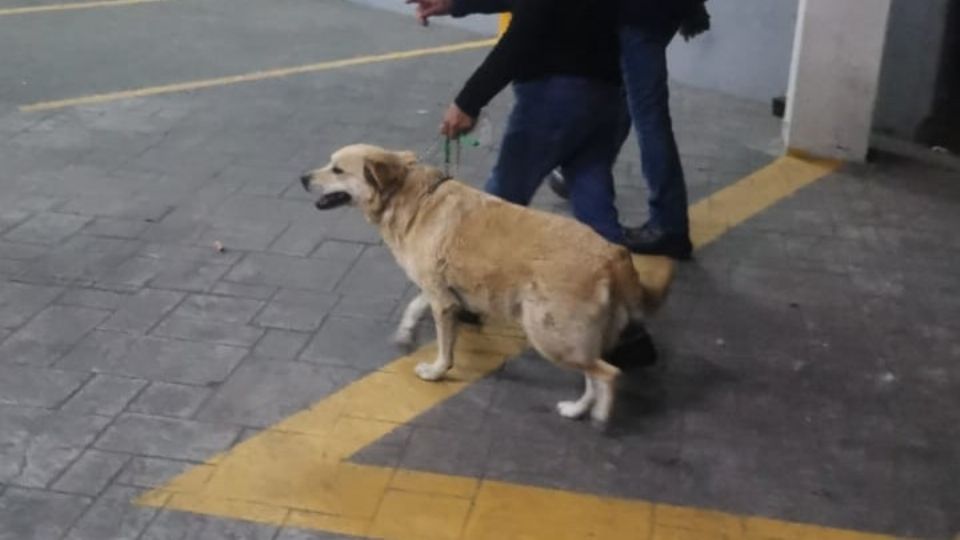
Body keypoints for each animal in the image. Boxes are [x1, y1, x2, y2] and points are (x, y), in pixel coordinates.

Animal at [302, 146, 676, 424]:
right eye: (330, 164)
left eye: (337, 170)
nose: (303, 178)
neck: (411, 197)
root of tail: (613, 252)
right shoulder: (438, 290)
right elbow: (416, 303)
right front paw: (407, 331)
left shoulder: (442, 300)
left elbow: (444, 346)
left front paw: (436, 371)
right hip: (570, 336)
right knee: (593, 374)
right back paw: (577, 408)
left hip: (549, 334)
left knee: (607, 373)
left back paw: (600, 414)